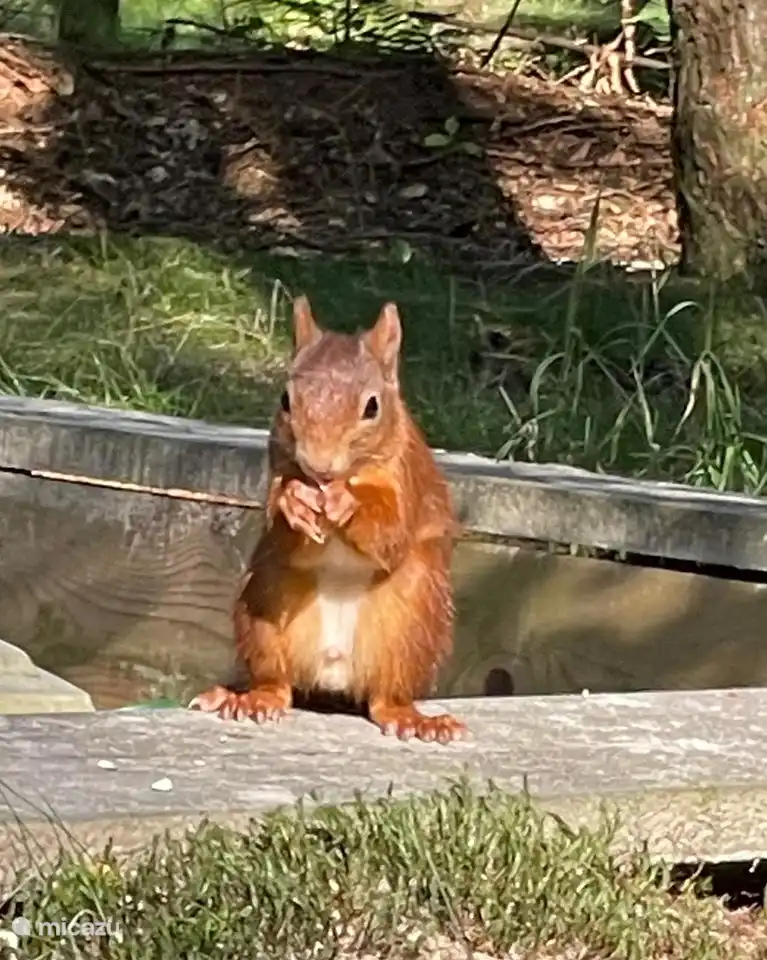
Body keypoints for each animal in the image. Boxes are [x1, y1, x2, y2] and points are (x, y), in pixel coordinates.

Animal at [189, 295, 466, 745]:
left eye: (372, 406)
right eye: (285, 399)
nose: (318, 466)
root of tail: (335, 675)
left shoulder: (404, 481)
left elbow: (390, 534)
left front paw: (345, 503)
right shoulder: (279, 469)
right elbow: (278, 526)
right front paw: (294, 502)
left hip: (412, 622)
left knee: (386, 697)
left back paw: (412, 719)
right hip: (264, 607)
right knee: (277, 683)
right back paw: (250, 699)